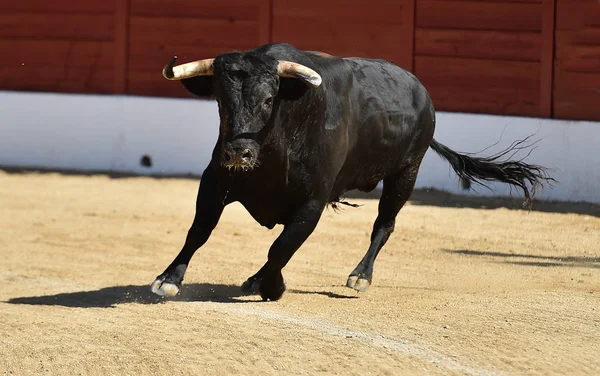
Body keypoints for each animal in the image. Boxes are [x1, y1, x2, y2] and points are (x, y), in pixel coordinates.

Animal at [150, 42, 552, 302]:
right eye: (220, 101)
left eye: (268, 99)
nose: (238, 152)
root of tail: (424, 95)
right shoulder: (215, 182)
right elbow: (199, 231)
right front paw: (168, 279)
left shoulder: (312, 203)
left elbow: (281, 247)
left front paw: (273, 287)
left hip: (406, 173)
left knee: (384, 225)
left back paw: (360, 277)